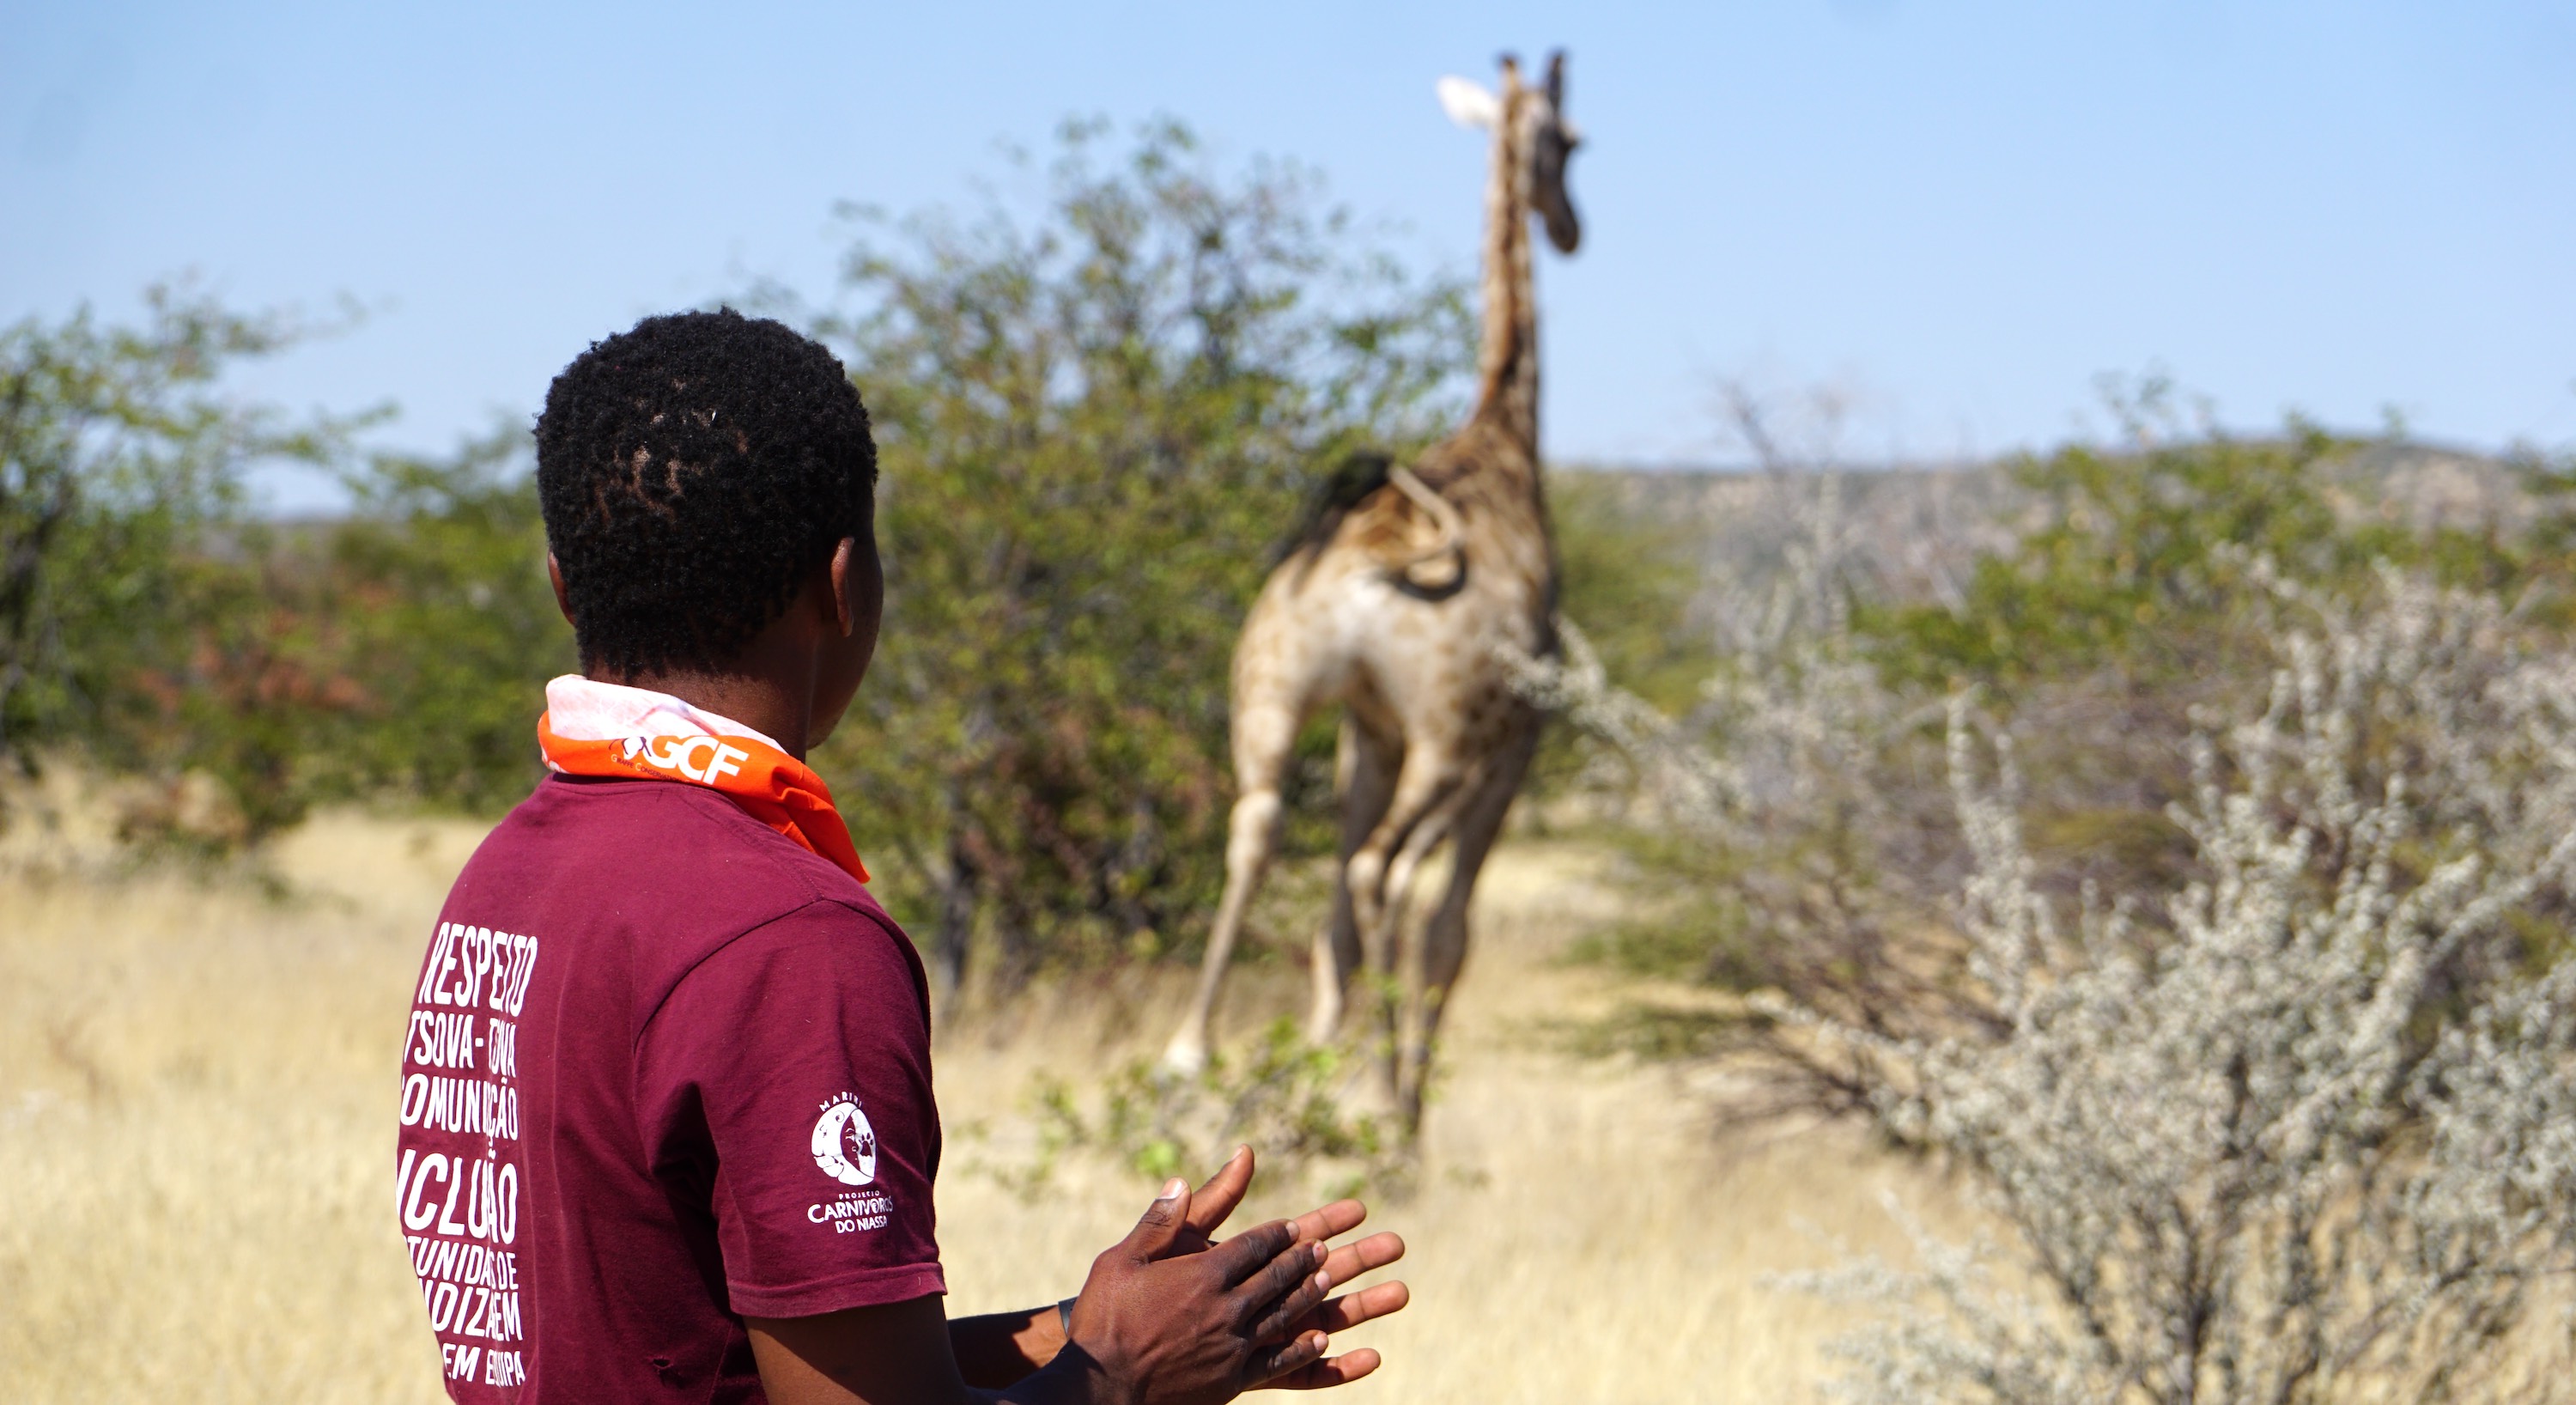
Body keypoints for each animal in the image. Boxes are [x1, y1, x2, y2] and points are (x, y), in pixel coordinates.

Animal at [1159, 52, 1577, 1139]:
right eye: (1570, 143)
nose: (1571, 226)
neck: (1506, 438)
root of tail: (1359, 576)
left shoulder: (1364, 730)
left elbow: (1339, 933)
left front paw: (1321, 1066)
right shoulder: (1513, 745)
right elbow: (1447, 928)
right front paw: (1399, 1108)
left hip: (1274, 692)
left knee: (1262, 831)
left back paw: (1194, 1053)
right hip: (1444, 739)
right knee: (1378, 878)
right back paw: (1384, 1106)